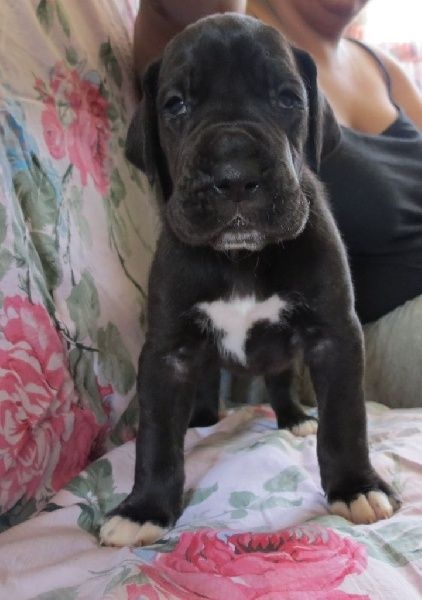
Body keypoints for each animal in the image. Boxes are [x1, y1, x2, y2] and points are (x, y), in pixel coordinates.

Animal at [100, 14, 400, 547]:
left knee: (279, 381)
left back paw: (295, 418)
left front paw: (355, 487)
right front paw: (144, 509)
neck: (240, 258)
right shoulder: (167, 353)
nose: (235, 174)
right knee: (205, 384)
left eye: (288, 98)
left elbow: (346, 419)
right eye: (175, 104)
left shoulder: (335, 337)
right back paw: (201, 419)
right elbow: (155, 436)